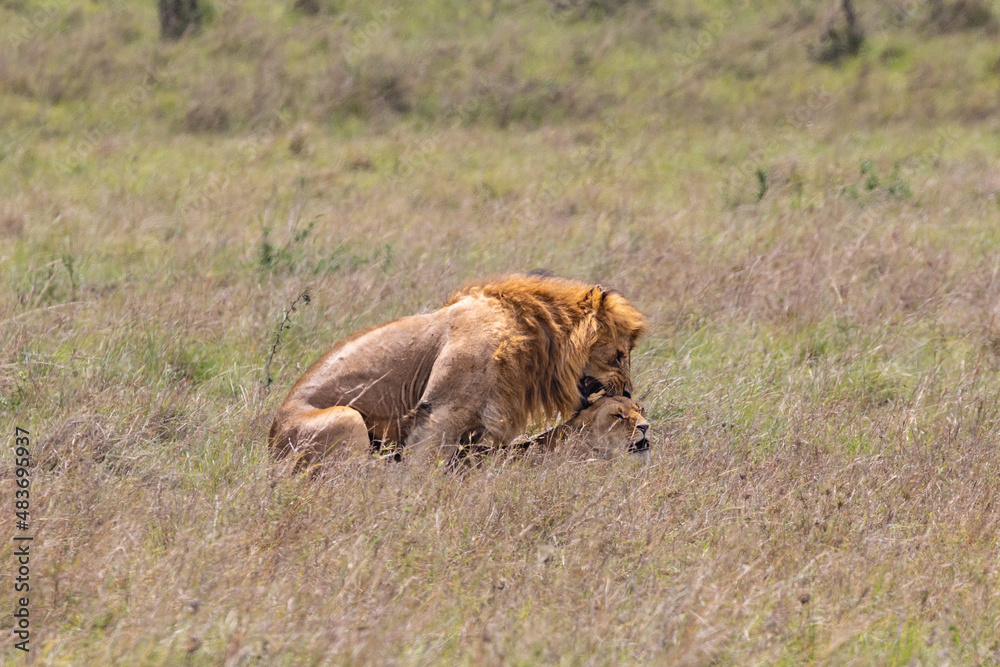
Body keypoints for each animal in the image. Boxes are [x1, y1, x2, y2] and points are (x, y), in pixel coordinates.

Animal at [269, 272, 647, 465]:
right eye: (619, 355)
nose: (628, 391)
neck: (532, 334)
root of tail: (270, 440)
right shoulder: (442, 409)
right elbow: (426, 465)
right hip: (345, 418)